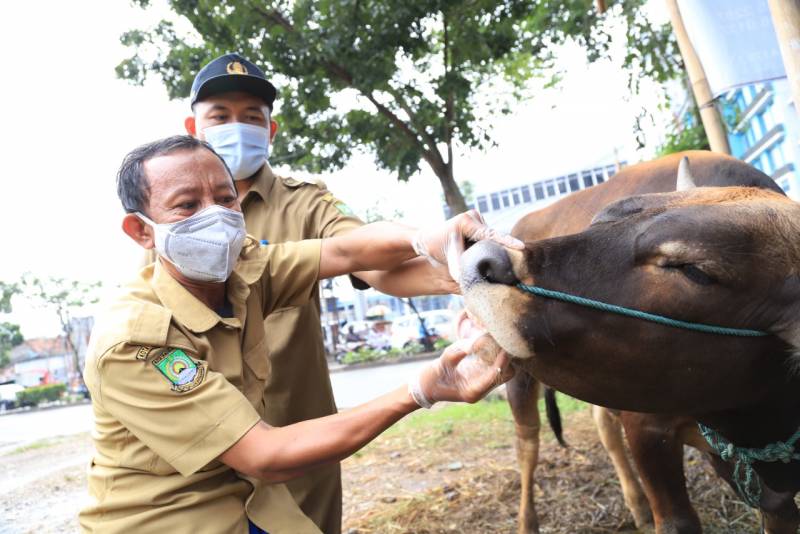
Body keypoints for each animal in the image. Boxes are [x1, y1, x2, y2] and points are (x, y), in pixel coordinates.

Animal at [462, 153, 800, 532]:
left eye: (694, 271)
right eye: (603, 220)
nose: (482, 259)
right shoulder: (648, 429)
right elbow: (677, 522)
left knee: (603, 426)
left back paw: (636, 504)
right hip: (521, 381)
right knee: (527, 445)